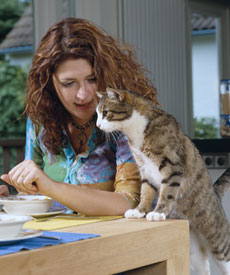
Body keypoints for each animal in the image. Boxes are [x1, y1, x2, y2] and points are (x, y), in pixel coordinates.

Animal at [96, 88, 230, 275]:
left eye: (105, 113)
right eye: (97, 114)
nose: (97, 125)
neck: (136, 132)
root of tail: (215, 192)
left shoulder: (172, 166)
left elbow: (167, 192)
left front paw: (158, 212)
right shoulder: (145, 169)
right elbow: (146, 193)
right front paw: (139, 211)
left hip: (218, 244)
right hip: (194, 254)